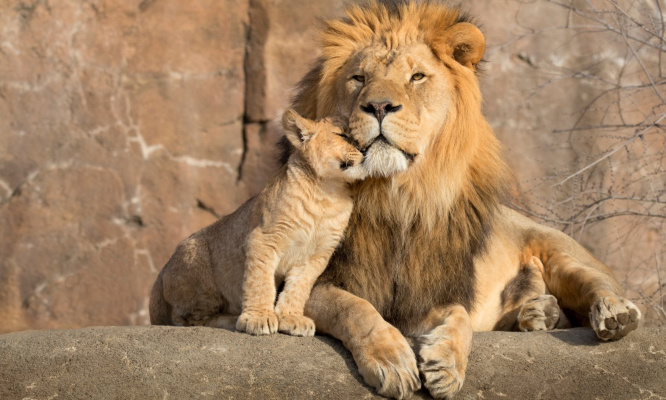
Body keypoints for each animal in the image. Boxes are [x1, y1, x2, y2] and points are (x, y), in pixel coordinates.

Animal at [149, 109, 366, 337]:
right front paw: (258, 318)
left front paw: (292, 318)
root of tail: (162, 270)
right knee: (188, 319)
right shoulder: (263, 238)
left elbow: (298, 288)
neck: (328, 192)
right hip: (198, 265)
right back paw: (231, 319)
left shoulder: (317, 255)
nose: (365, 150)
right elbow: (260, 282)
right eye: (342, 135)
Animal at [281, 1, 642, 399]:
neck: (395, 196)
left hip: (561, 252)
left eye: (417, 77)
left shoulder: (429, 291)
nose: (378, 106)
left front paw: (447, 365)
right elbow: (354, 308)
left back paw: (613, 313)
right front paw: (392, 361)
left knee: (599, 283)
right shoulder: (314, 281)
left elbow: (459, 316)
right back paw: (537, 314)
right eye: (359, 78)